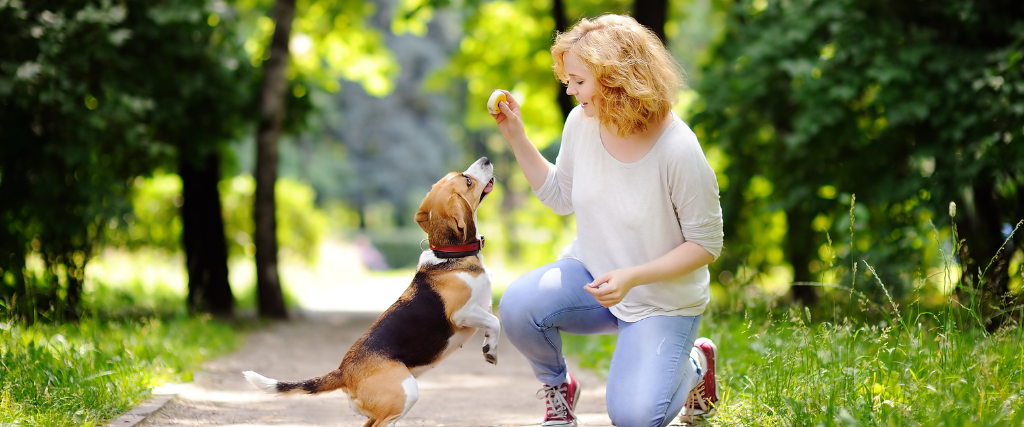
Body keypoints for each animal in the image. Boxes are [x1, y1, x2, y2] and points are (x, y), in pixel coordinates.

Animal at [239, 156, 495, 425]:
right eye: (467, 181)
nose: (485, 159)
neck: (450, 255)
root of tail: (343, 371)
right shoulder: (463, 314)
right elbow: (495, 321)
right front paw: (492, 351)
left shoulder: (483, 308)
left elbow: (492, 322)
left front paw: (489, 346)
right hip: (406, 392)